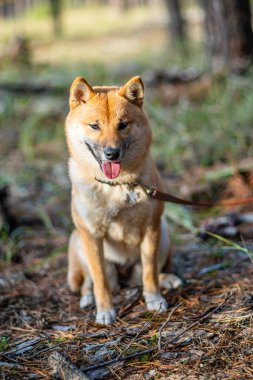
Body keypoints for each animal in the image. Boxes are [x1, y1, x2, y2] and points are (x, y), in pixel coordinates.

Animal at [65, 76, 182, 324]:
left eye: (122, 124)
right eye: (95, 126)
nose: (112, 153)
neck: (118, 186)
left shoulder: (151, 229)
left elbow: (150, 273)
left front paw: (154, 299)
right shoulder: (91, 236)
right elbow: (100, 282)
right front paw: (105, 311)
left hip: (164, 234)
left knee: (148, 273)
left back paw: (167, 279)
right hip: (80, 243)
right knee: (89, 283)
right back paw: (88, 298)